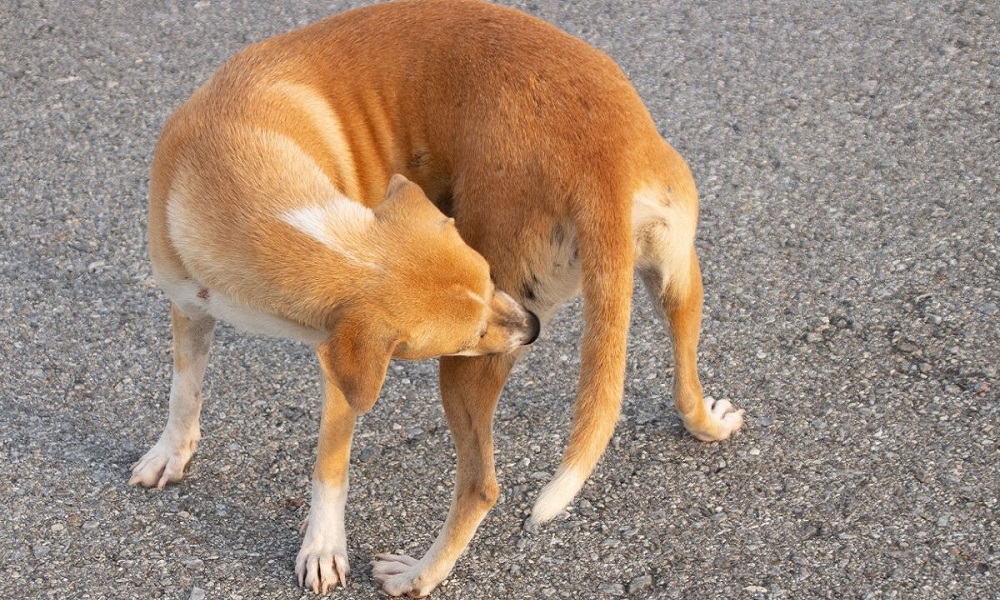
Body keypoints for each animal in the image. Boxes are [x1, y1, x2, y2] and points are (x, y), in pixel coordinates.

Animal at [131, 0, 744, 596]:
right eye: (485, 284)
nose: (533, 328)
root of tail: (603, 161)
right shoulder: (189, 306)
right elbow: (184, 389)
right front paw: (171, 452)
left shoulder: (343, 372)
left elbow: (330, 465)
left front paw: (323, 547)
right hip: (676, 274)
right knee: (683, 371)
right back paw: (708, 423)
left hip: (466, 369)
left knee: (481, 487)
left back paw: (418, 577)